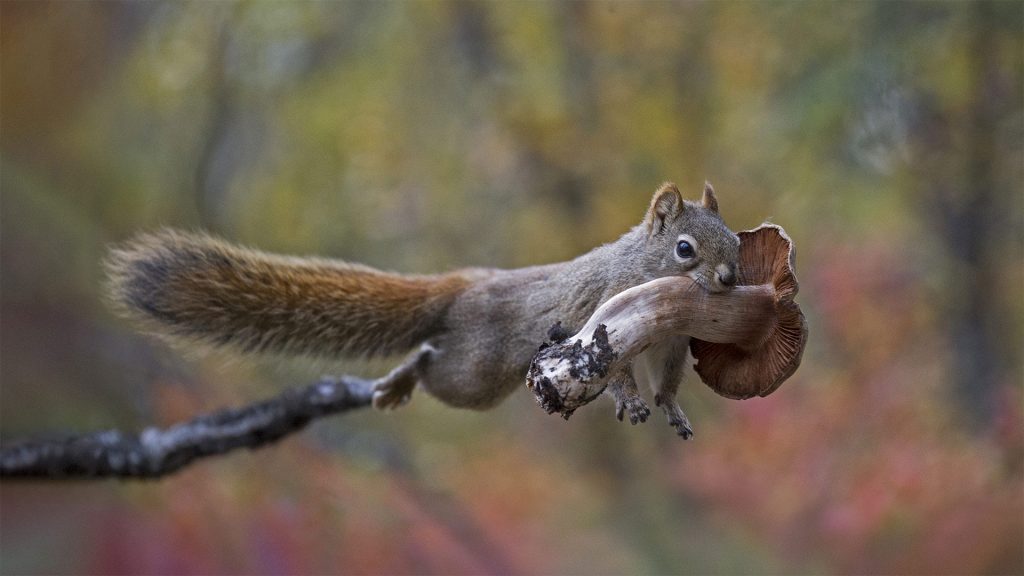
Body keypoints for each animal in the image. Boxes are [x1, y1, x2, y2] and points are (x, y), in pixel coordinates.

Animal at [108, 181, 741, 436]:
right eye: (685, 249)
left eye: (736, 242)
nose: (731, 278)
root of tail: (466, 285)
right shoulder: (604, 318)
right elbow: (614, 373)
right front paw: (630, 400)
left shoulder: (670, 345)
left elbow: (668, 383)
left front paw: (671, 408)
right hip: (475, 374)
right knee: (432, 359)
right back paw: (400, 380)